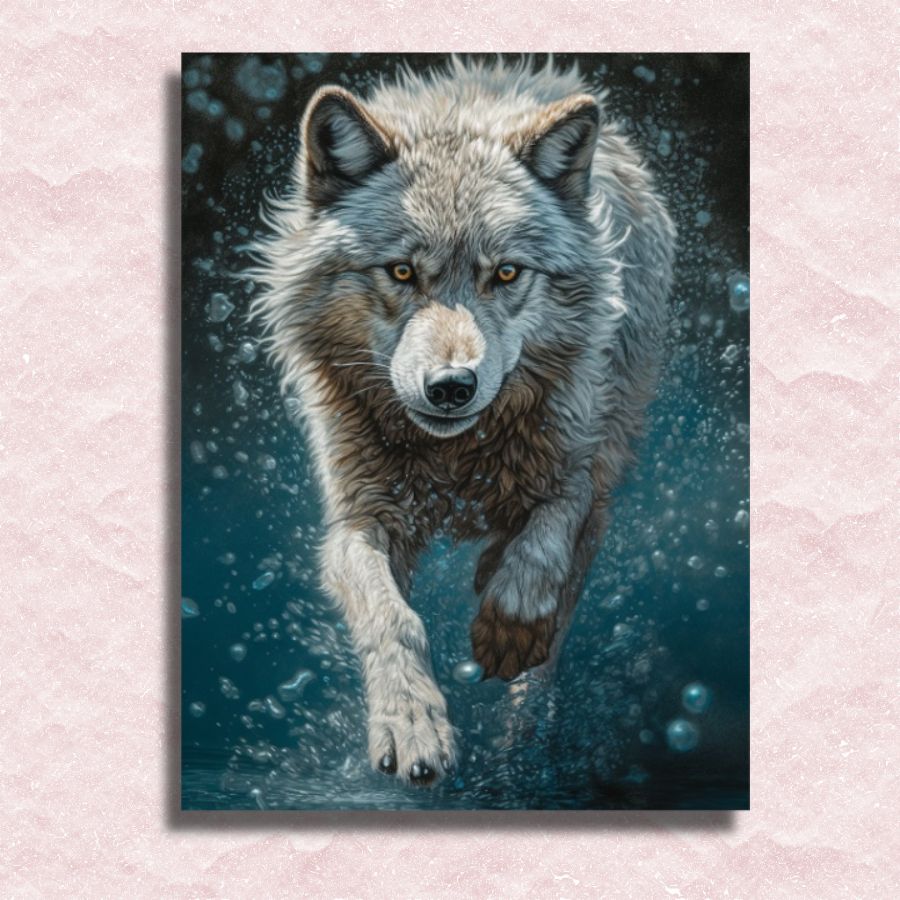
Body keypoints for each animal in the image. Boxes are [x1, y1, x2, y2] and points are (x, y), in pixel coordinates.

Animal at [248, 57, 675, 786]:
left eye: (505, 273)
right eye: (401, 271)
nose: (452, 387)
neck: (452, 461)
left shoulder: (578, 466)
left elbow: (546, 543)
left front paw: (507, 625)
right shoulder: (357, 519)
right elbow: (392, 620)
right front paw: (411, 725)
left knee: (557, 622)